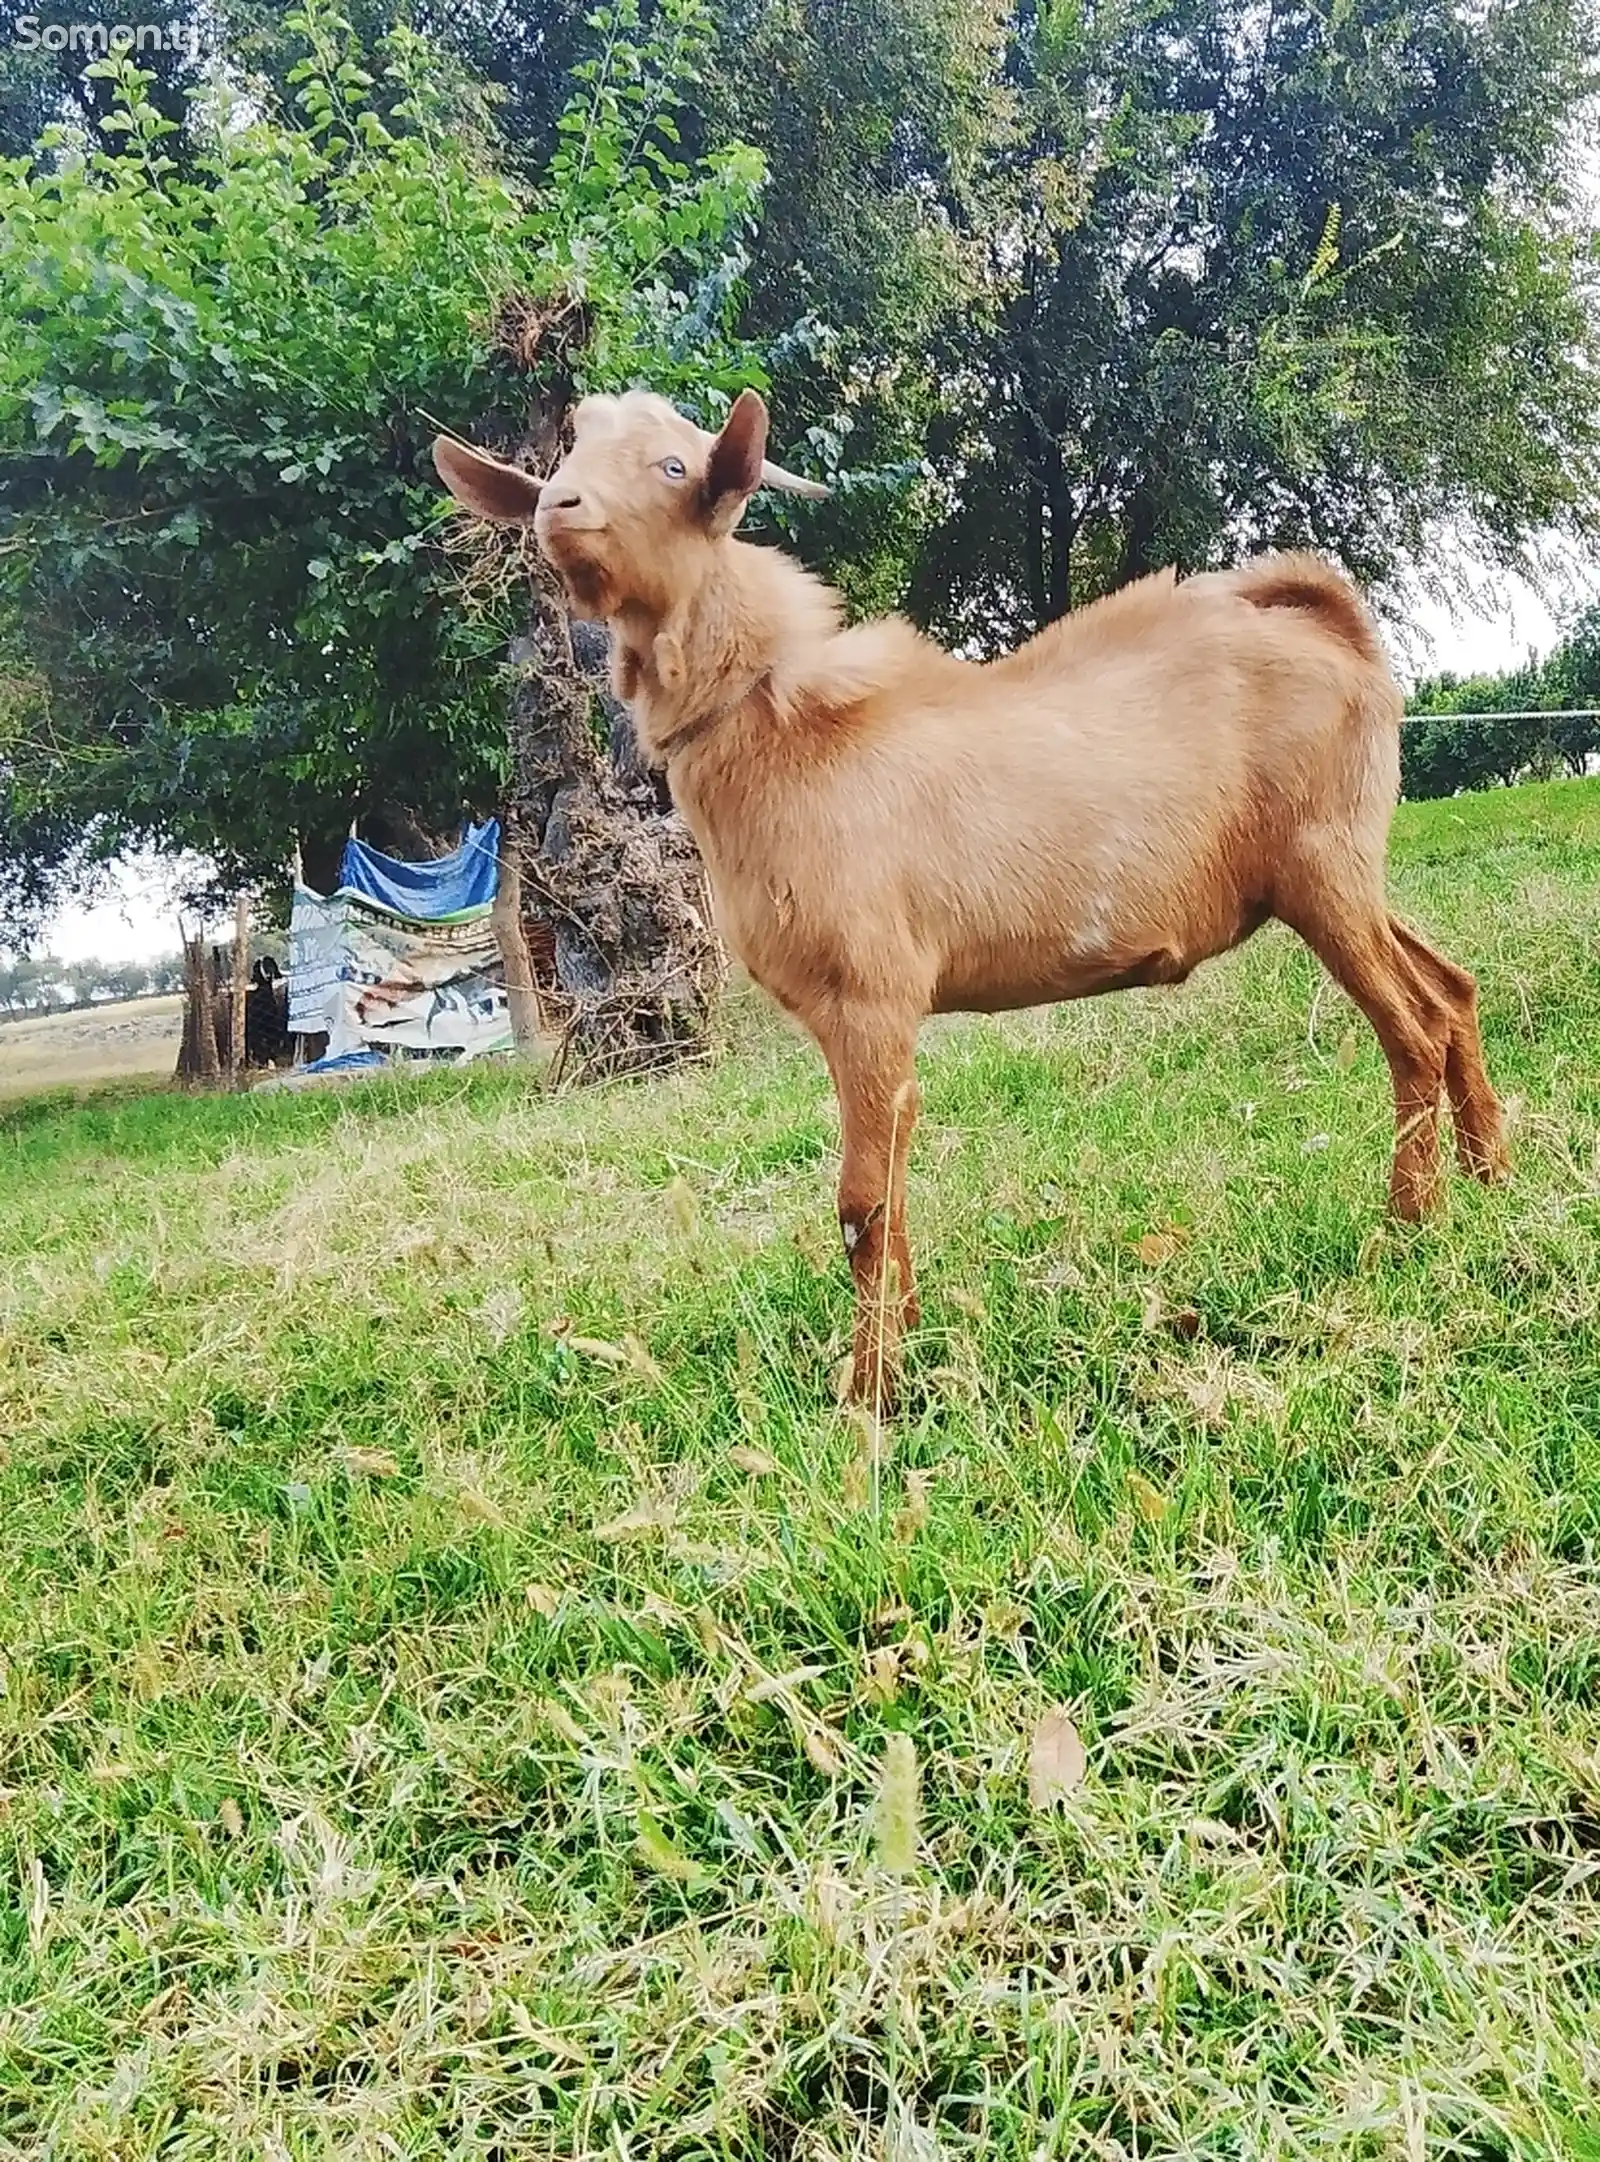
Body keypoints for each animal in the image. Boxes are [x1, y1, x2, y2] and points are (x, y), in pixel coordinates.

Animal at [430, 389, 1504, 1400]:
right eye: (567, 455)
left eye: (673, 466)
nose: (559, 511)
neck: (777, 726)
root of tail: (1327, 621)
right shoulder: (853, 1015)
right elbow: (893, 1179)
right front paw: (903, 1353)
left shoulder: (871, 991)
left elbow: (861, 1201)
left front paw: (868, 1398)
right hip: (1333, 869)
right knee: (1451, 989)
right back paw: (1492, 1178)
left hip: (1323, 861)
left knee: (1409, 1026)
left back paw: (1409, 1227)